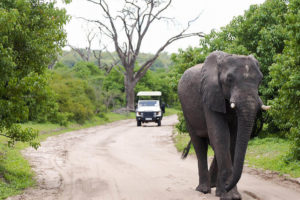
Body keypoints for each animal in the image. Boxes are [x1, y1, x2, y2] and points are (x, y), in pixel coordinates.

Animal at [177, 50, 270, 199]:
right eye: (229, 79)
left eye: (260, 80)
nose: (227, 186)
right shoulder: (209, 95)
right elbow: (221, 136)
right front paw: (229, 195)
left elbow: (232, 139)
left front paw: (227, 193)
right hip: (186, 109)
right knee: (199, 144)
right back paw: (203, 190)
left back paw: (213, 186)